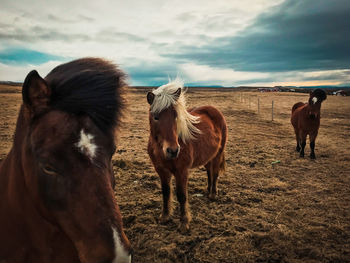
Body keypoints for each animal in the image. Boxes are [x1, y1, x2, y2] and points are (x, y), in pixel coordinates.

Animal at [147, 79, 227, 233]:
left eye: (176, 116)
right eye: (156, 117)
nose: (172, 150)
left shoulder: (182, 171)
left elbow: (181, 195)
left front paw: (184, 223)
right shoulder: (161, 171)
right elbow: (166, 192)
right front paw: (165, 216)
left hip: (217, 154)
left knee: (214, 173)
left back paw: (213, 194)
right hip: (207, 156)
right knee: (209, 171)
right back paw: (208, 190)